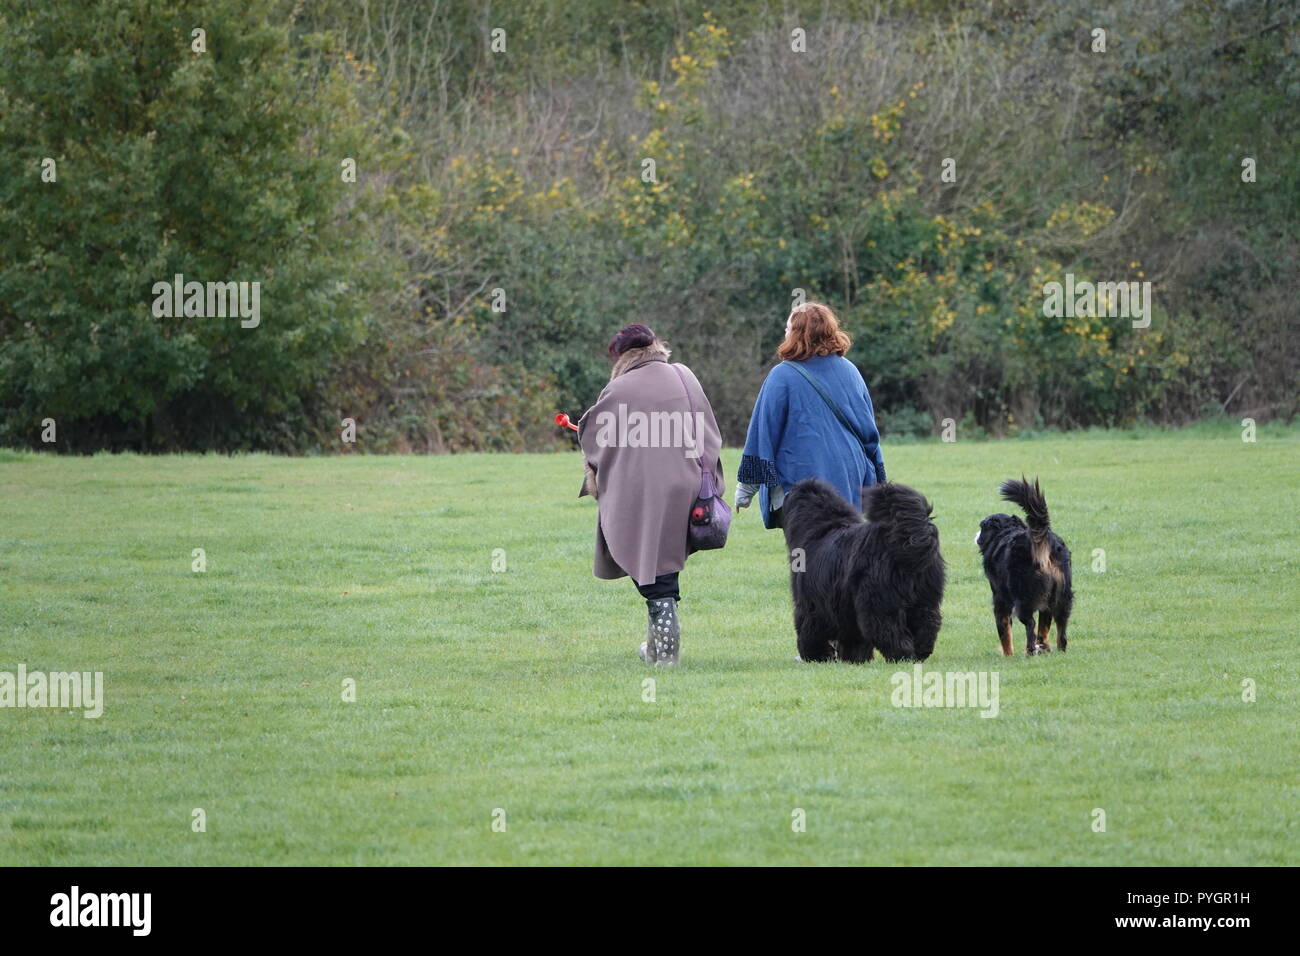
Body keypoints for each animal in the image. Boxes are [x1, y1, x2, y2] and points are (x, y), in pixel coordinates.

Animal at [780, 481, 946, 660]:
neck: (822, 529)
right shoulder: (844, 608)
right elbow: (854, 638)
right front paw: (855, 659)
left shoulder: (810, 604)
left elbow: (809, 630)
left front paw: (815, 656)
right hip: (925, 598)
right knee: (927, 624)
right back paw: (920, 652)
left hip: (878, 602)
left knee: (889, 630)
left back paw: (900, 655)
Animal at [977, 478, 1076, 658]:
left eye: (982, 527)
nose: (976, 536)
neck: (1006, 532)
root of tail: (1040, 539)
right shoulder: (1046, 604)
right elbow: (1044, 629)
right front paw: (1044, 647)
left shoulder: (1000, 599)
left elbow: (1004, 631)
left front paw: (1008, 654)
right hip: (1062, 597)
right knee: (1061, 627)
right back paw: (1058, 650)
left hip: (1023, 600)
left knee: (1030, 624)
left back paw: (1029, 650)